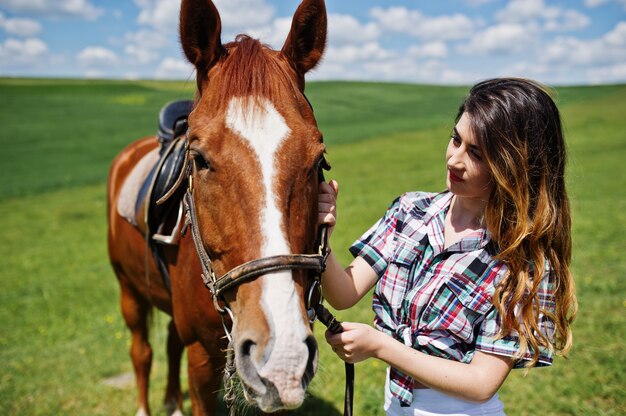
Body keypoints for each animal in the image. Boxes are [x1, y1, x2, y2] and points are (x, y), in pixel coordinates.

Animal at [106, 0, 332, 412]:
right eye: (199, 159)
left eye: (317, 159)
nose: (283, 354)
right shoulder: (201, 357)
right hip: (128, 290)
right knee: (142, 351)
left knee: (168, 342)